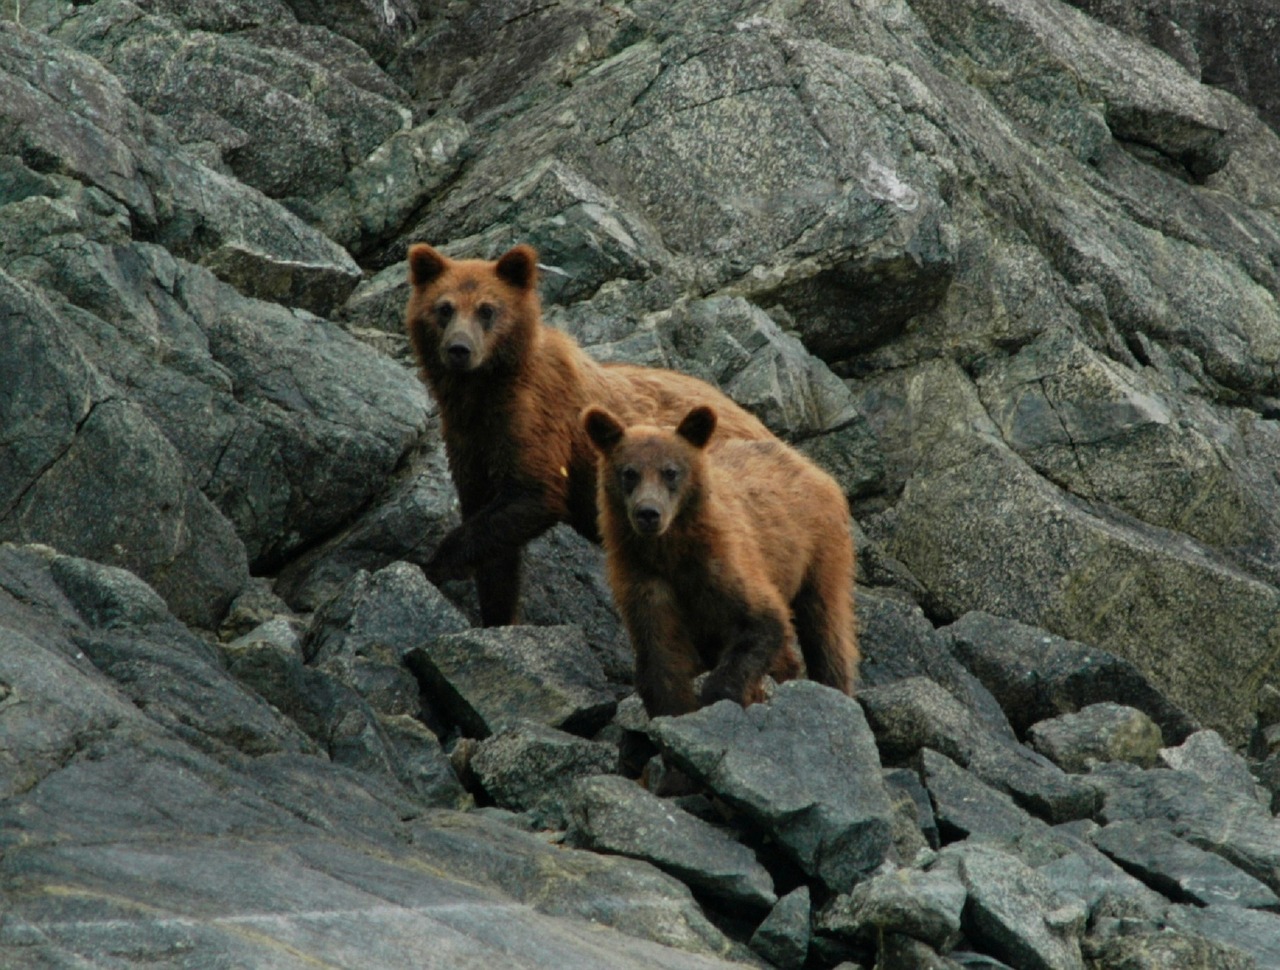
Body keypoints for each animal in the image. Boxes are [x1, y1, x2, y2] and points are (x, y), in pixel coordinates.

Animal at [407, 241, 768, 621]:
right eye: (444, 308)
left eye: (487, 309)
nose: (459, 349)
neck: (482, 391)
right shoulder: (469, 439)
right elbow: (492, 539)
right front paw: (496, 614)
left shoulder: (535, 416)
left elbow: (532, 493)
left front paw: (435, 564)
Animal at [583, 404, 860, 721]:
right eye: (629, 472)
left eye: (670, 472)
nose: (648, 513)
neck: (670, 553)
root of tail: (807, 462)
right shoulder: (644, 579)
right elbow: (660, 653)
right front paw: (674, 710)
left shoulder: (722, 566)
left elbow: (762, 622)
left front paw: (720, 697)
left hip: (820, 551)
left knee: (826, 628)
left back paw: (834, 686)